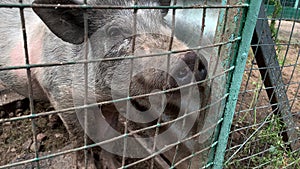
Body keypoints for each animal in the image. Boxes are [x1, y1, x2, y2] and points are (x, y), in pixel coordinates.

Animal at [0, 0, 210, 168]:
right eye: (114, 31)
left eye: (162, 22)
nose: (191, 59)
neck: (101, 97)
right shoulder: (59, 93)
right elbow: (79, 138)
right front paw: (87, 166)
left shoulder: (113, 104)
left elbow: (108, 135)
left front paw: (113, 164)